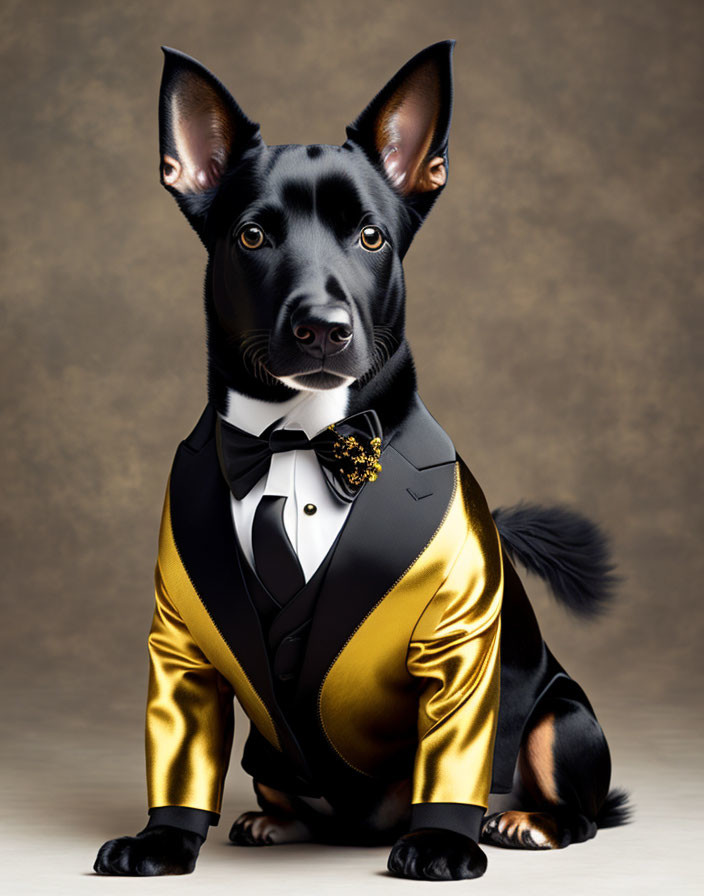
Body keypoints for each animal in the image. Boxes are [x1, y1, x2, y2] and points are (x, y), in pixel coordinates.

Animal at [95, 42, 632, 880]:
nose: (323, 327)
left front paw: (443, 841)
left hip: (561, 715)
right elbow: (180, 742)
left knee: (577, 810)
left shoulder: (460, 639)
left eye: (372, 238)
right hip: (269, 756)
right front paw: (163, 840)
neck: (296, 442)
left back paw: (523, 822)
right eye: (253, 238)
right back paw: (276, 820)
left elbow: (455, 743)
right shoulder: (181, 641)